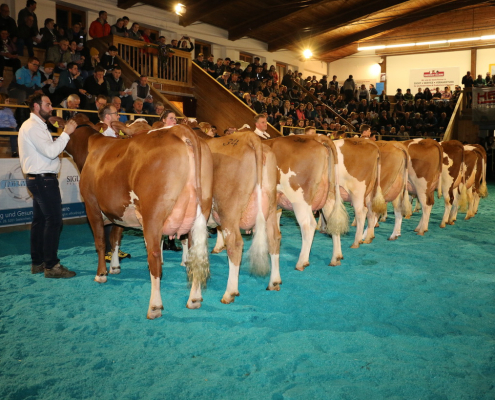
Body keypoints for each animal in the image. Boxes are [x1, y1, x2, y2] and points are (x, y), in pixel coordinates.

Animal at [79, 125, 213, 318]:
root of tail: (179, 129)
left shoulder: (92, 206)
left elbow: (101, 242)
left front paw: (101, 274)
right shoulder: (119, 215)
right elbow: (115, 239)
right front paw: (115, 267)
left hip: (153, 214)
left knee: (154, 256)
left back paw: (154, 306)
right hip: (200, 211)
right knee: (196, 255)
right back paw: (194, 299)